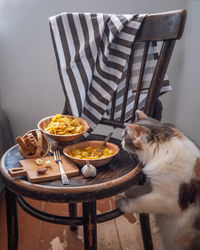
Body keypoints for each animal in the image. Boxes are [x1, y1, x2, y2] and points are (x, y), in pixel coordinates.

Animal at [115, 110, 200, 250]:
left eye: (125, 139)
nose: (121, 143)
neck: (162, 151)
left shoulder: (166, 200)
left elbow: (139, 202)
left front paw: (123, 202)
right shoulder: (154, 183)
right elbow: (141, 188)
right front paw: (128, 192)